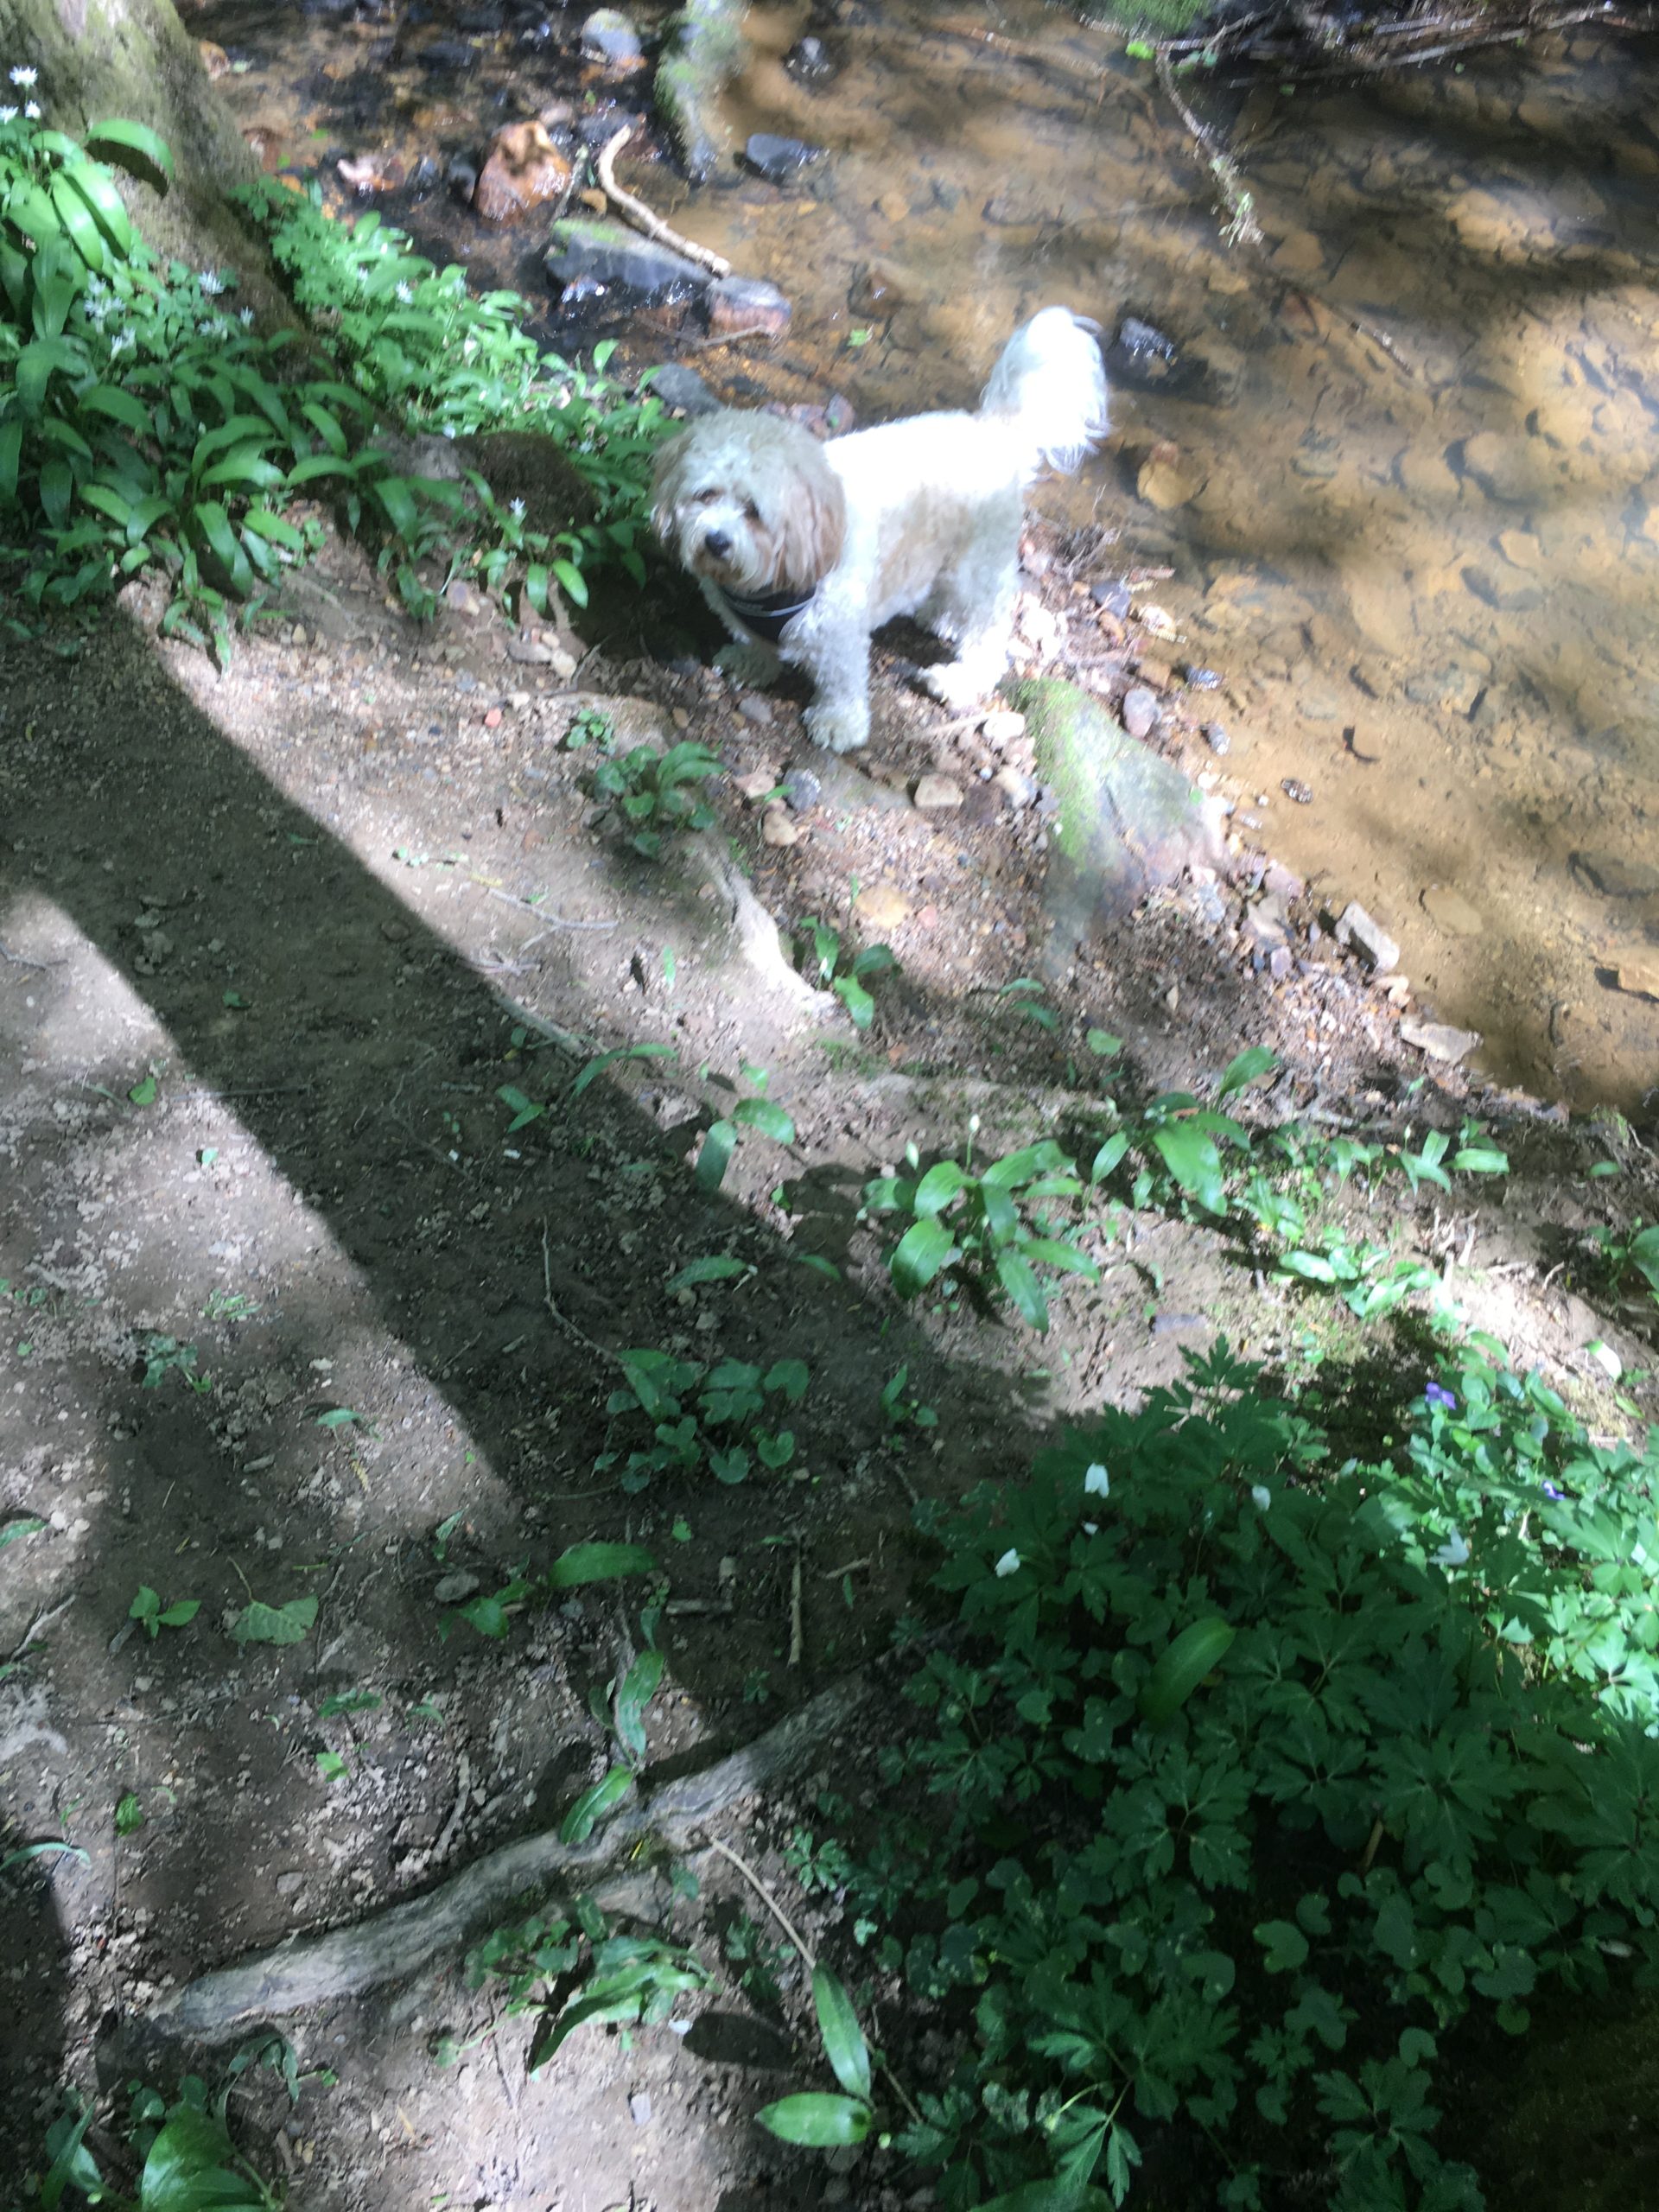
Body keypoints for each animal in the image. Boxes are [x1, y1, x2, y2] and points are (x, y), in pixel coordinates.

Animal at [654, 307, 1110, 760]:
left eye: (754, 512)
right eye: (707, 494)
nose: (716, 540)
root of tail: (995, 430)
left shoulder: (837, 632)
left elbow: (841, 681)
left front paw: (839, 723)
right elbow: (756, 642)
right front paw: (755, 663)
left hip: (977, 566)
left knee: (987, 630)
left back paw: (958, 679)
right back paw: (938, 617)